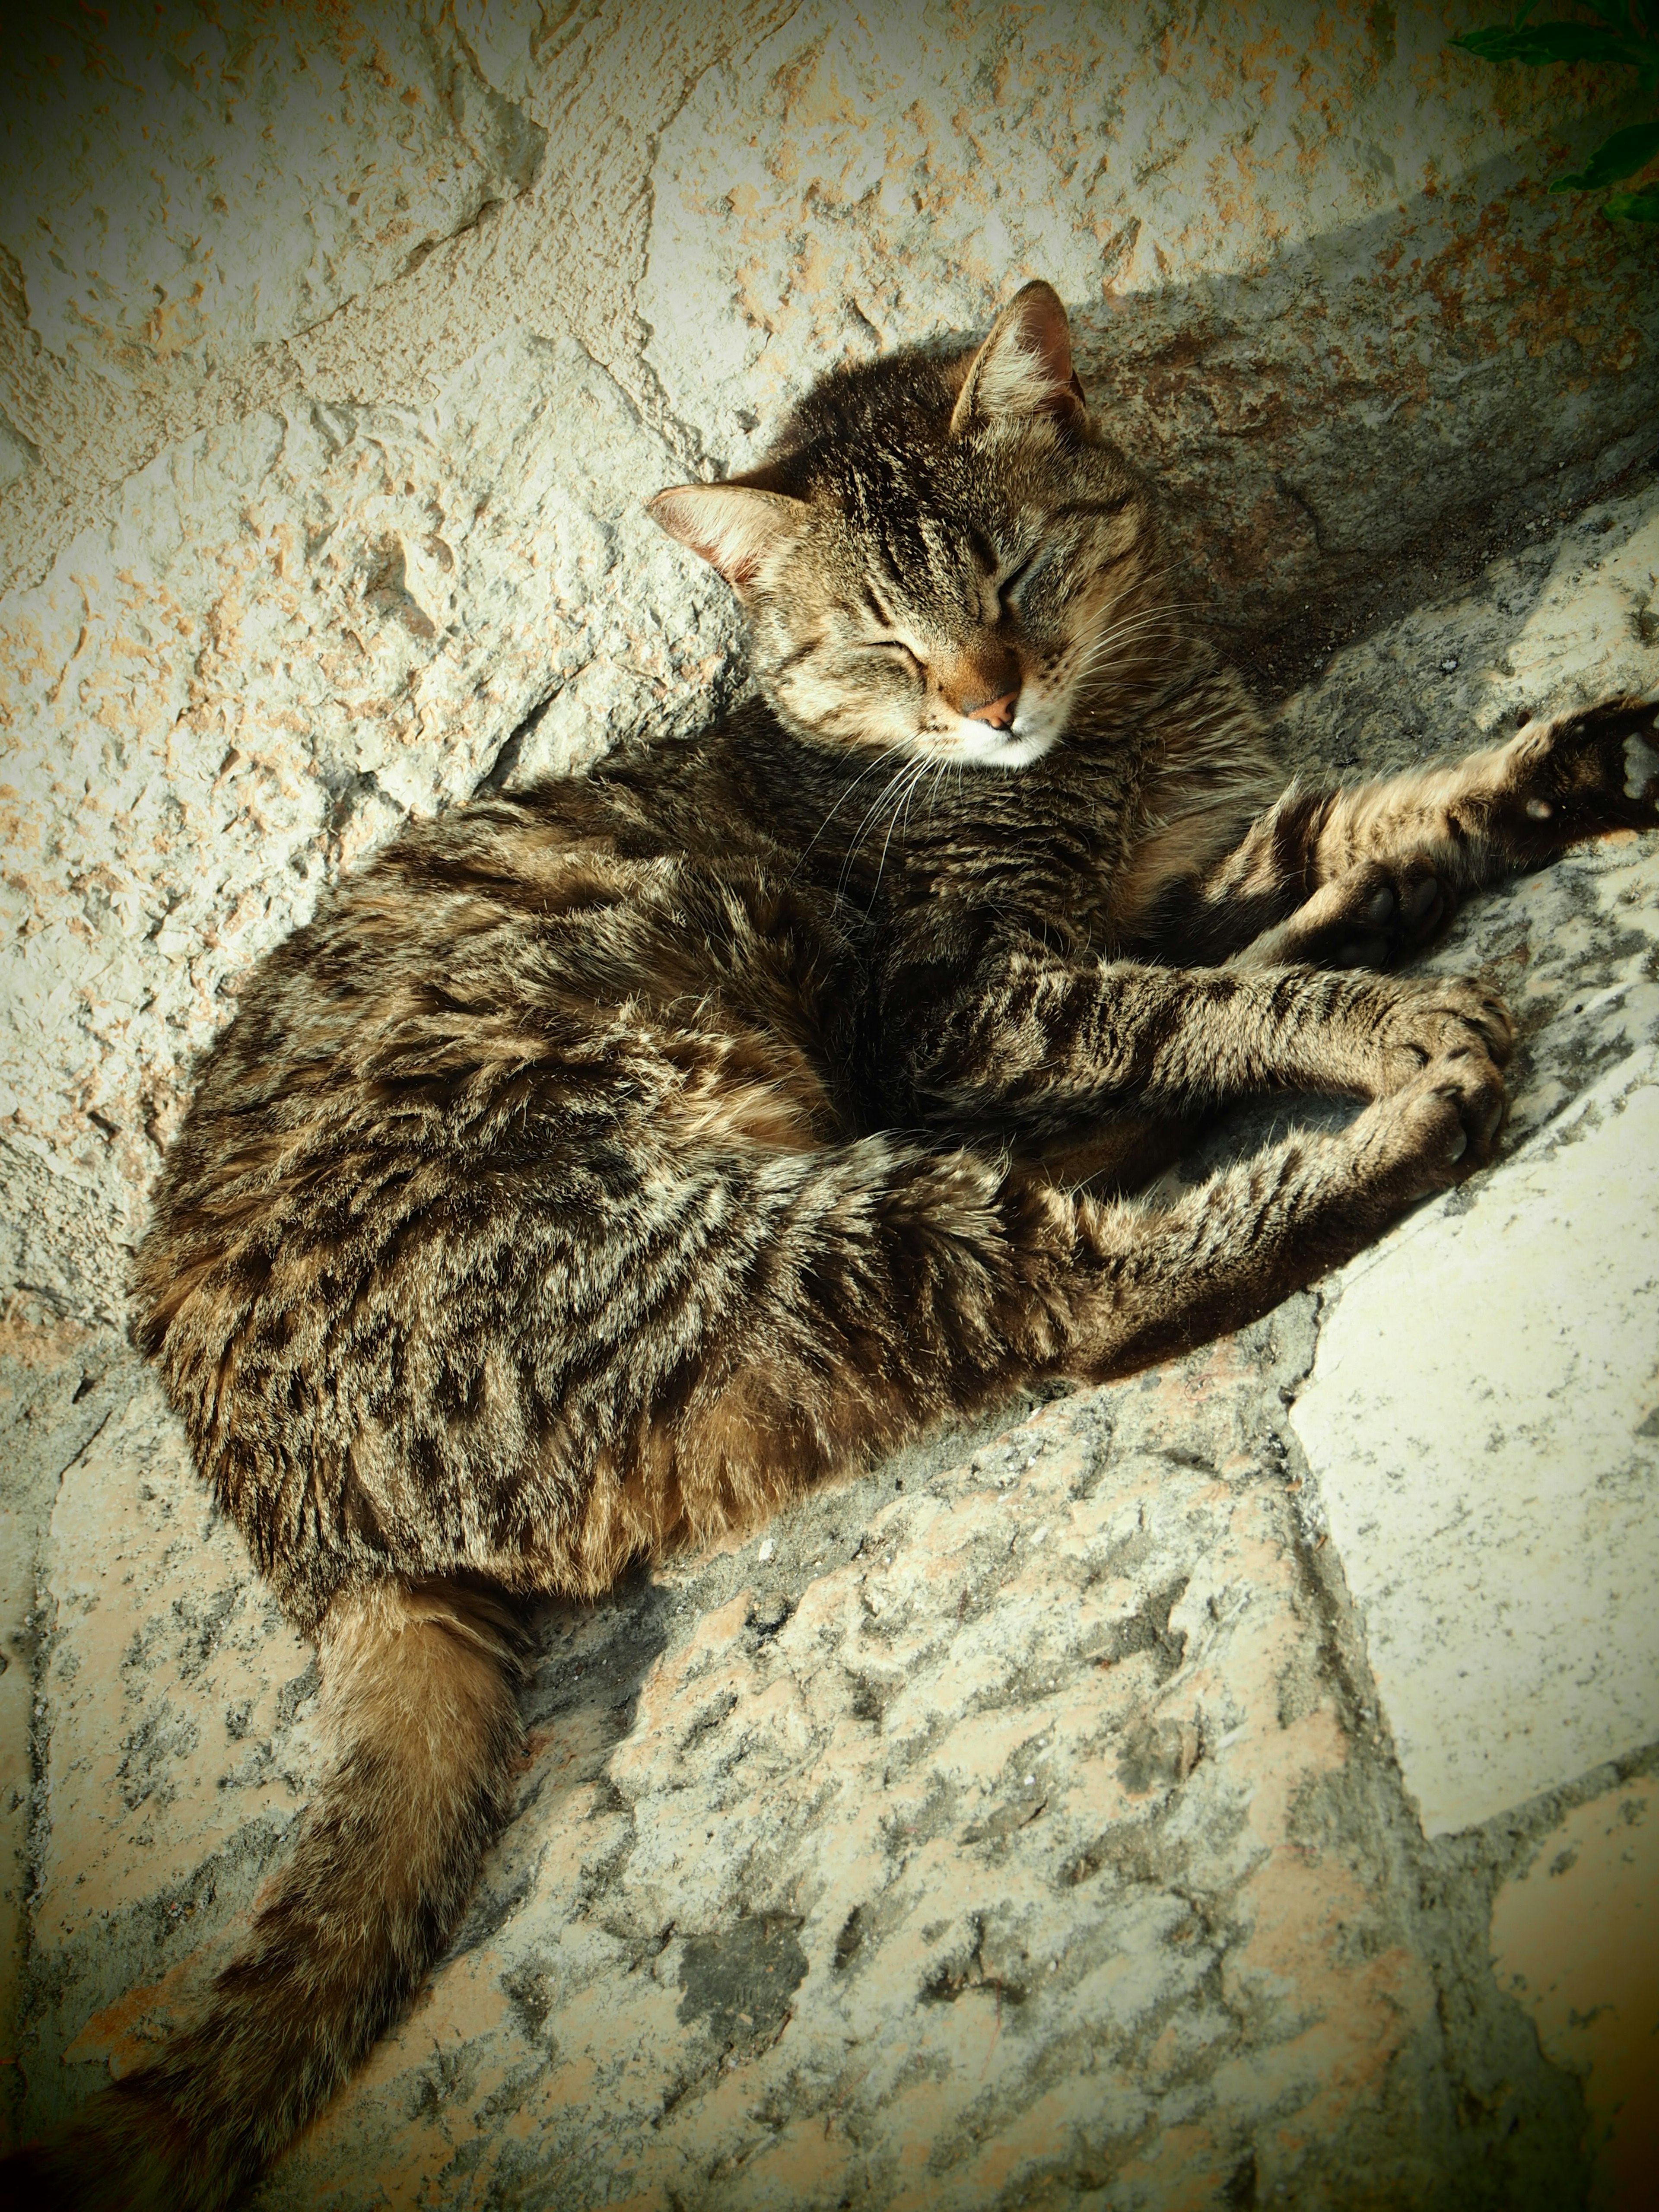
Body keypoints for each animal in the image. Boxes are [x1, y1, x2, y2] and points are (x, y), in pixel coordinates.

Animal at [6, 285, 1654, 2203]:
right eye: (882, 643)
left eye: (1014, 569)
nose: (991, 697)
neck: (1124, 731)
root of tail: (299, 1542)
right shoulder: (957, 999)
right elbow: (1196, 1004)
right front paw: (1362, 990)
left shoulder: (1182, 869)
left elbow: (1347, 823)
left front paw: (1529, 780)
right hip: (738, 1233)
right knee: (1072, 1294)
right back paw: (1401, 1086)